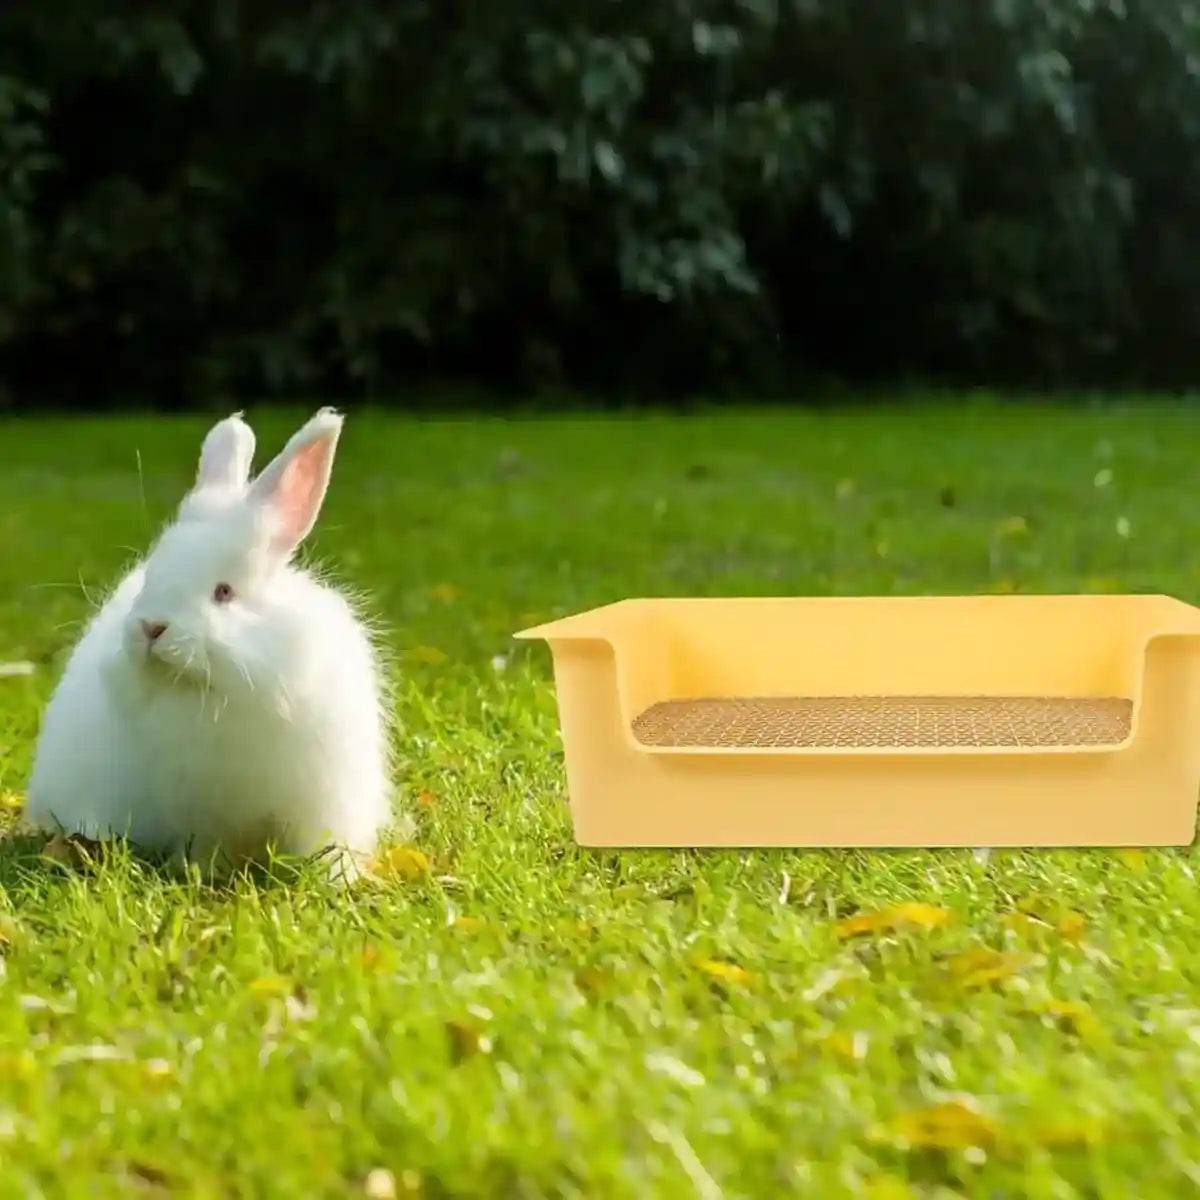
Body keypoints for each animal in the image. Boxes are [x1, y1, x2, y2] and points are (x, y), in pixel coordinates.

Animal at [24, 407, 395, 882]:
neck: (217, 691)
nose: (152, 627)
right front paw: (201, 874)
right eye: (151, 576)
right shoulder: (198, 814)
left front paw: (336, 881)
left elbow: (324, 848)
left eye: (224, 592)